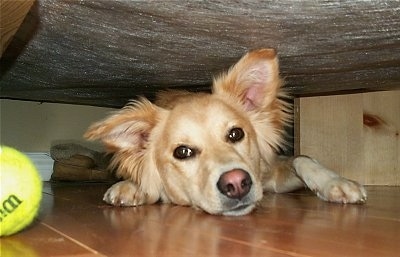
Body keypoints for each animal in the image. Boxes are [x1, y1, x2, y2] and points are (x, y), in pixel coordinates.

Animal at [84, 47, 366, 214]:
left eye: (235, 134)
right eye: (182, 152)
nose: (237, 184)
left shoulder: (270, 173)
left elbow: (301, 158)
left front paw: (335, 182)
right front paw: (131, 186)